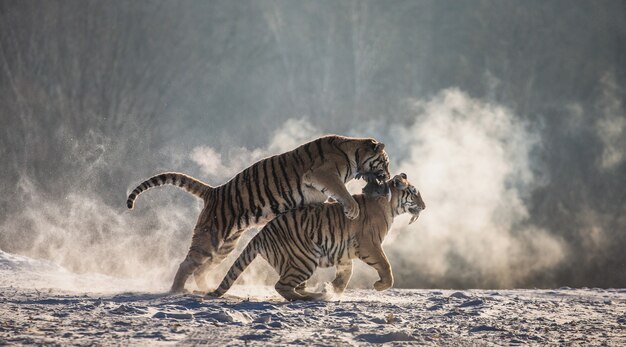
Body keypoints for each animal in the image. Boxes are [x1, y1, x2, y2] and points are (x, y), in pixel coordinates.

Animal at [125, 136, 390, 294]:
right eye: (385, 162)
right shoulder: (323, 174)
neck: (353, 153)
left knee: (202, 268)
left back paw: (206, 288)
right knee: (186, 263)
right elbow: (341, 191)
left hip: (225, 246)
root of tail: (213, 191)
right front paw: (352, 209)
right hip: (210, 238)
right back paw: (178, 291)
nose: (388, 175)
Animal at [211, 173, 424, 302]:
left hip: (293, 262)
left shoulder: (345, 251)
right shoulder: (369, 244)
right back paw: (310, 298)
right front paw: (380, 286)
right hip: (303, 259)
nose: (424, 206)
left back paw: (317, 294)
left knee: (292, 286)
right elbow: (385, 265)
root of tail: (261, 233)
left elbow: (346, 274)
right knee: (282, 286)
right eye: (414, 193)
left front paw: (333, 290)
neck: (390, 205)